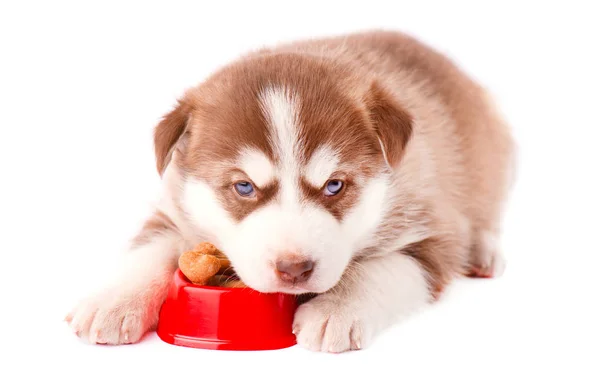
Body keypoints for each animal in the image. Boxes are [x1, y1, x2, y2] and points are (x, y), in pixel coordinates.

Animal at [67, 30, 516, 352]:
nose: (295, 269)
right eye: (243, 187)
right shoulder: (175, 206)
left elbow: (383, 267)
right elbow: (151, 247)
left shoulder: (432, 229)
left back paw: (484, 251)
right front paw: (112, 300)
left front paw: (337, 308)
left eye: (334, 185)